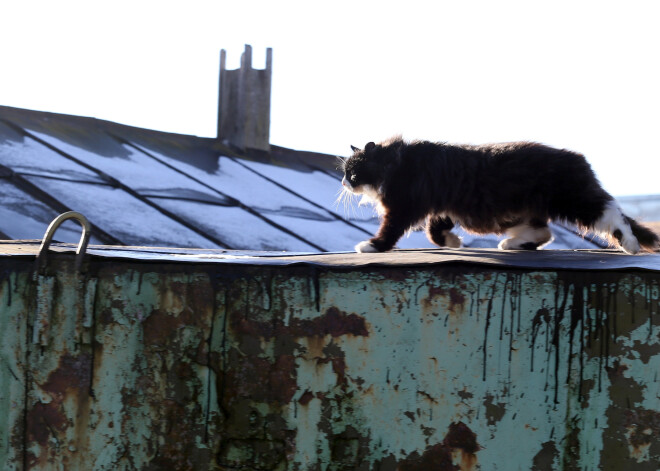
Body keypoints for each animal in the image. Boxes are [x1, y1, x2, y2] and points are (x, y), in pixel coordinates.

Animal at [340, 136, 660, 254]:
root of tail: (578, 158)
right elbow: (434, 230)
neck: (396, 162)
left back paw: (630, 244)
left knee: (613, 214)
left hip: (573, 199)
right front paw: (452, 242)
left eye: (352, 172)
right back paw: (514, 244)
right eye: (344, 172)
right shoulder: (442, 206)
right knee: (544, 233)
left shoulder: (405, 206)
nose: (343, 183)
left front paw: (373, 245)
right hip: (523, 212)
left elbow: (391, 229)